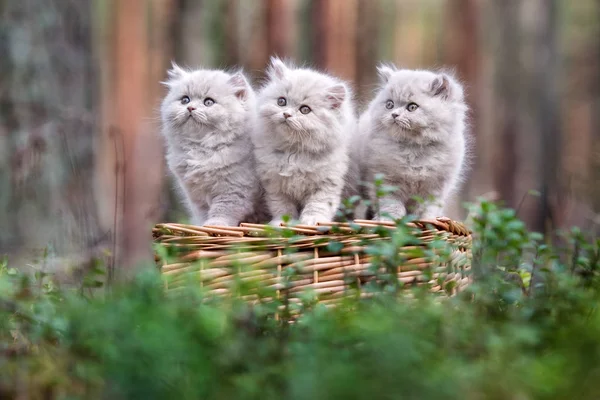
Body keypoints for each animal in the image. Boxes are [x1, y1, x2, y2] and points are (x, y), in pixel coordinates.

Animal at [159, 62, 264, 225]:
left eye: (208, 102)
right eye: (185, 100)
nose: (190, 108)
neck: (202, 149)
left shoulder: (234, 188)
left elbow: (223, 210)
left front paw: (215, 224)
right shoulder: (197, 198)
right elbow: (203, 214)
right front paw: (202, 227)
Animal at [252, 56, 356, 227]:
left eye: (305, 110)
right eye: (281, 102)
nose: (286, 114)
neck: (294, 152)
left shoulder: (326, 184)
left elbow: (317, 206)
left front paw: (311, 221)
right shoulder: (275, 185)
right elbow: (282, 207)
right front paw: (281, 222)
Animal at [356, 66, 468, 222]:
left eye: (412, 107)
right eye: (389, 104)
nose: (394, 114)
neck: (413, 148)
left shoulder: (435, 187)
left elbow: (427, 208)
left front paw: (427, 221)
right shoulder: (386, 181)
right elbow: (391, 204)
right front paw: (389, 221)